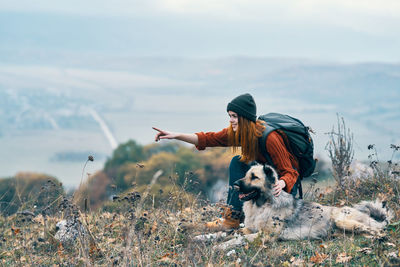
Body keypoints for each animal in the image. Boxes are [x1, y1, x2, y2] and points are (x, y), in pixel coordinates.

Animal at [203, 164, 394, 250]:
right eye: (245, 175)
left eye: (254, 177)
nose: (235, 185)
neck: (262, 205)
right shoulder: (250, 229)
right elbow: (229, 233)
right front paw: (205, 237)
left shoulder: (265, 235)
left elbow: (236, 239)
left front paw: (219, 247)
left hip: (343, 220)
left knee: (376, 230)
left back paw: (380, 238)